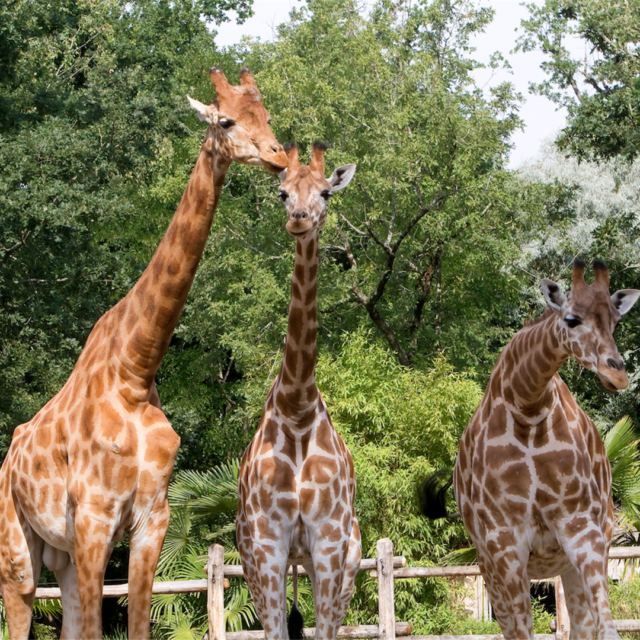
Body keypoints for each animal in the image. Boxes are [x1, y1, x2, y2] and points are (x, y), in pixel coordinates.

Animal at [0, 67, 288, 636]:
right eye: (226, 120)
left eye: (266, 116)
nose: (279, 156)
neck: (134, 370)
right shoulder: (94, 518)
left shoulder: (153, 516)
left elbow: (137, 621)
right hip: (17, 545)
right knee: (20, 602)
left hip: (61, 555)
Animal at [420, 258, 640, 640]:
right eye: (571, 319)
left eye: (616, 322)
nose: (618, 375)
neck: (528, 407)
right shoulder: (503, 545)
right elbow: (523, 631)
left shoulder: (582, 528)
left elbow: (605, 628)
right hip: (489, 567)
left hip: (574, 556)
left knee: (581, 625)